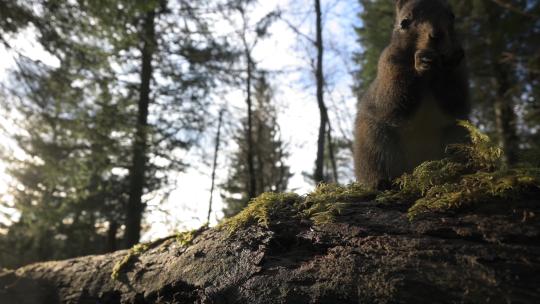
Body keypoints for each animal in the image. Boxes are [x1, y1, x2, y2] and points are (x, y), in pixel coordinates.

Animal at [354, 0, 468, 189]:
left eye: (452, 16)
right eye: (404, 22)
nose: (437, 35)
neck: (431, 75)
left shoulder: (461, 73)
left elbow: (456, 100)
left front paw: (450, 59)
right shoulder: (388, 65)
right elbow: (393, 100)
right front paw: (421, 61)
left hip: (457, 134)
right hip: (374, 139)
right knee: (378, 162)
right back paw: (379, 181)